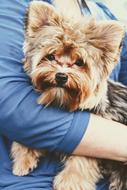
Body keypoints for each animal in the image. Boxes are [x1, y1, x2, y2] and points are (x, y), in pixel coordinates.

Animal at [10, 1, 127, 190]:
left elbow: (82, 159)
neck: (62, 99)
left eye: (79, 62)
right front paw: (23, 158)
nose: (61, 76)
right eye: (51, 56)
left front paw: (71, 182)